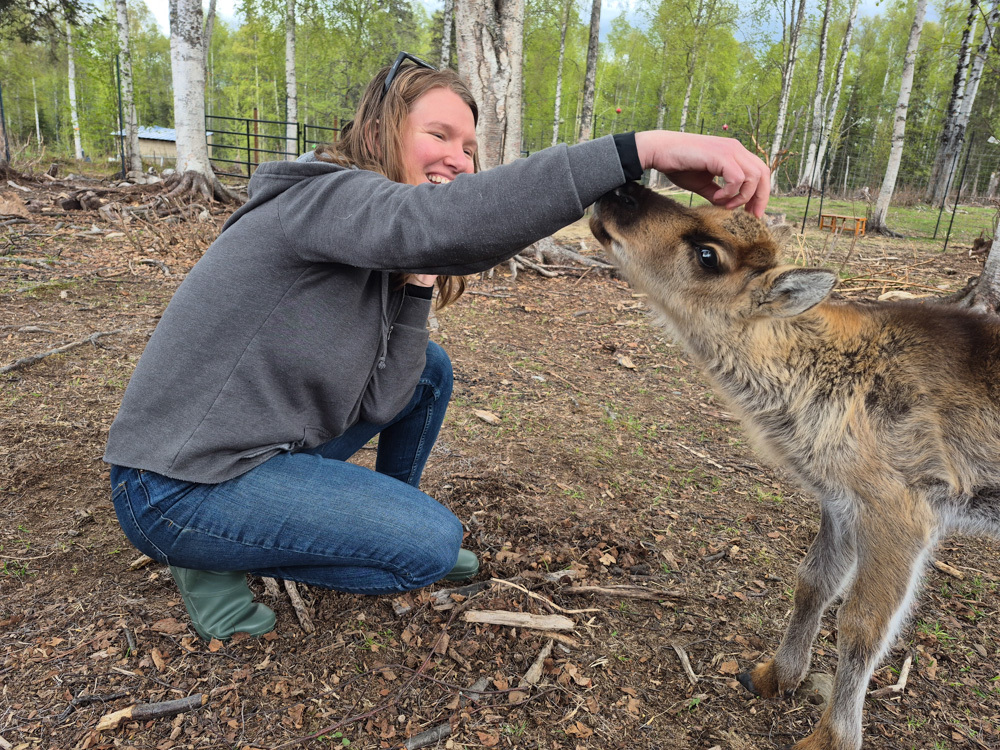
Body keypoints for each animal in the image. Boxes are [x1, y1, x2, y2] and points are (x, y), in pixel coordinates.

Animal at [589, 182, 1000, 750]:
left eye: (707, 255)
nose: (620, 191)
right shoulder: (841, 503)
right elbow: (814, 582)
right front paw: (774, 676)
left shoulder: (903, 513)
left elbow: (862, 624)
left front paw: (830, 737)